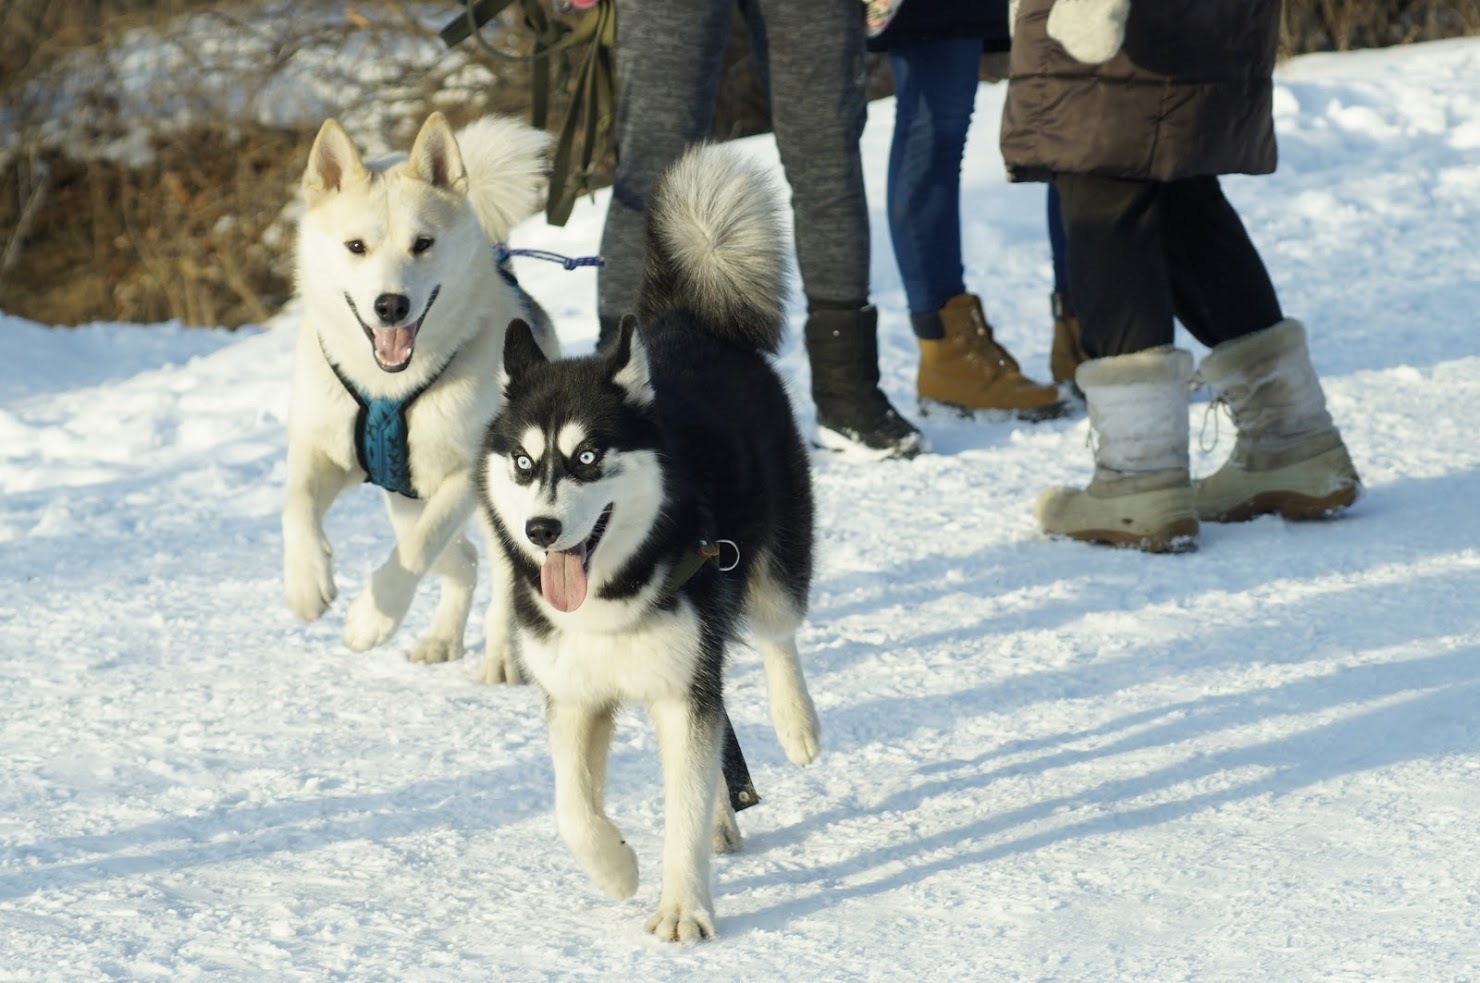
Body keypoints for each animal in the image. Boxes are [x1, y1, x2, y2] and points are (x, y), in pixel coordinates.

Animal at [279, 111, 556, 680]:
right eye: (355, 246)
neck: (388, 385)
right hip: (402, 497)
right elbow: (294, 509)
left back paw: (502, 656)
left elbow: (417, 548)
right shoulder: (319, 450)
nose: (391, 305)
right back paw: (441, 639)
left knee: (504, 572)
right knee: (462, 561)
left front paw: (371, 617)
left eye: (422, 244)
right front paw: (306, 582)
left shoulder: (466, 475)